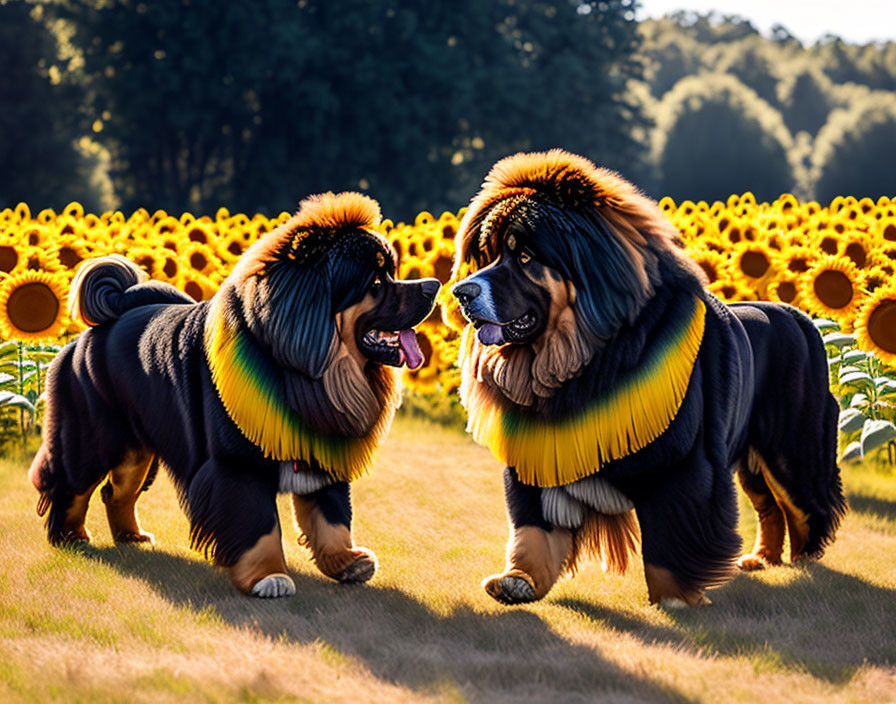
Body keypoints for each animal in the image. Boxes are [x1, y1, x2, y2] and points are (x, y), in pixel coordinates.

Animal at [26, 194, 436, 600]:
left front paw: (347, 561)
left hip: (137, 449)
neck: (300, 370)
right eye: (376, 281)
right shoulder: (237, 466)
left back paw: (132, 537)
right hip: (92, 438)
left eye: (393, 271)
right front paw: (268, 577)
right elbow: (259, 526)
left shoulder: (321, 450)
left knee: (117, 491)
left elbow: (332, 516)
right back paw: (69, 536)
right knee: (71, 485)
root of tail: (92, 334)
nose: (433, 285)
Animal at [448, 151, 848, 608]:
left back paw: (802, 562)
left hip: (789, 447)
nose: (461, 292)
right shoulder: (538, 456)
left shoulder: (680, 465)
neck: (585, 362)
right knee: (770, 509)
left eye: (526, 257)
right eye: (489, 255)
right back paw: (761, 558)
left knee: (803, 506)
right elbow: (532, 530)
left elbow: (669, 542)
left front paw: (676, 597)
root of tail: (799, 318)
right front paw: (519, 580)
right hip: (751, 456)